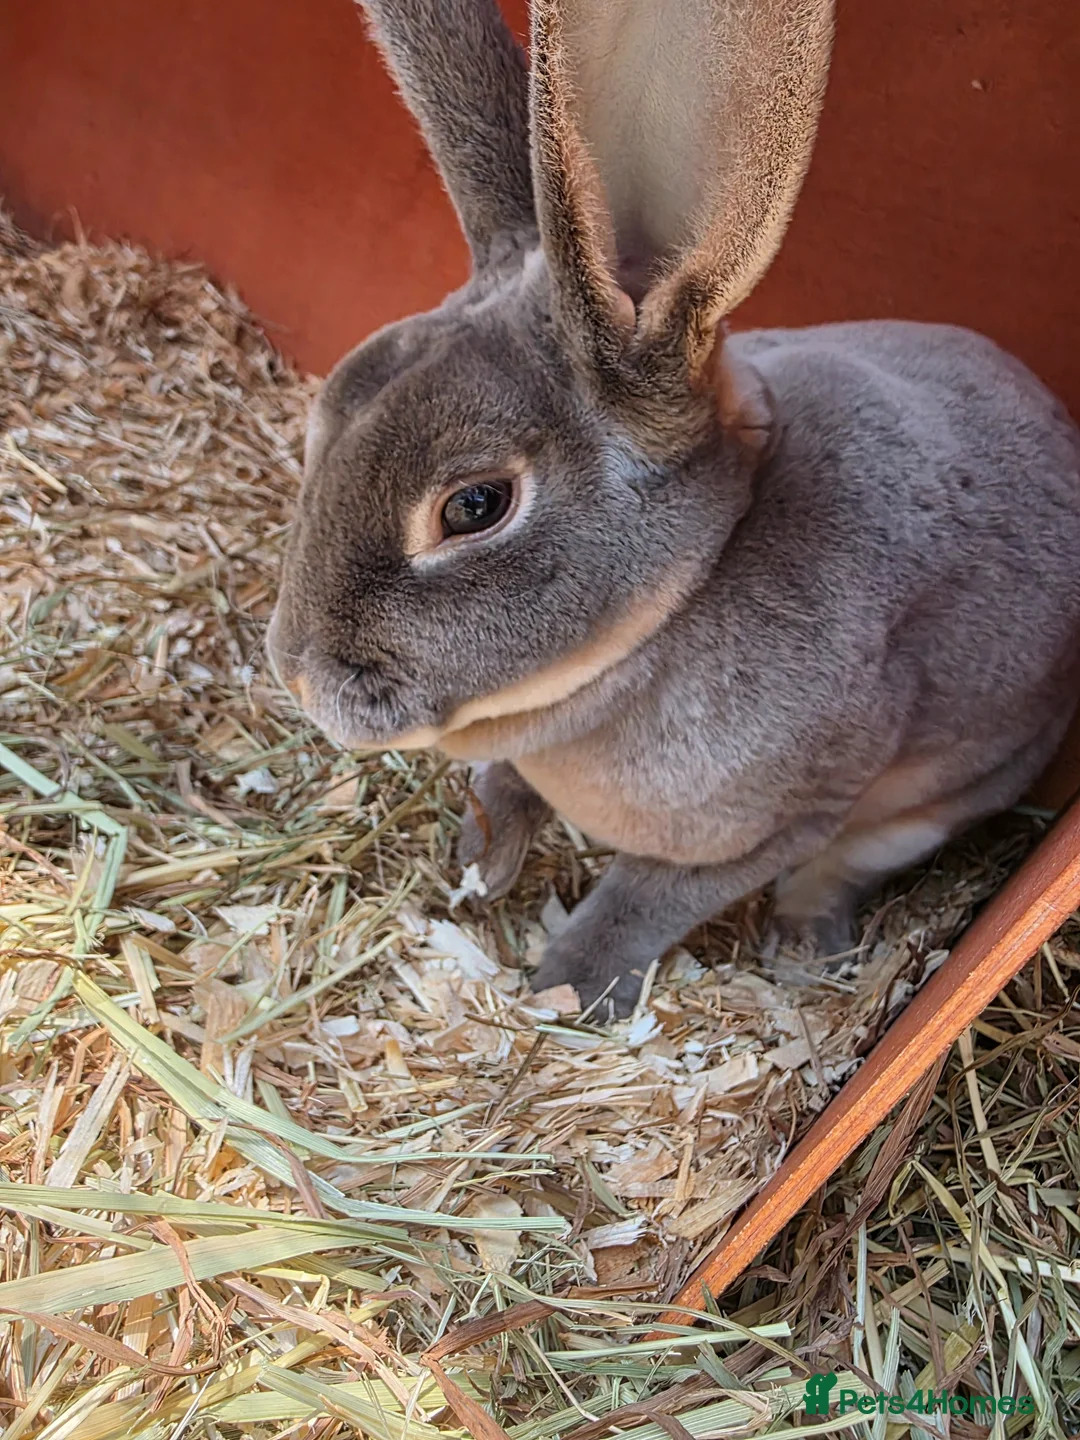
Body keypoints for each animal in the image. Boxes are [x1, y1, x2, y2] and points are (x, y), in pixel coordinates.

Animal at [268, 0, 1080, 1019]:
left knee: (843, 869)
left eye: (475, 506)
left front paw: (566, 989)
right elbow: (510, 785)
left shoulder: (779, 818)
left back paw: (804, 944)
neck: (679, 602)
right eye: (329, 408)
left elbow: (643, 902)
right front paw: (483, 862)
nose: (297, 675)